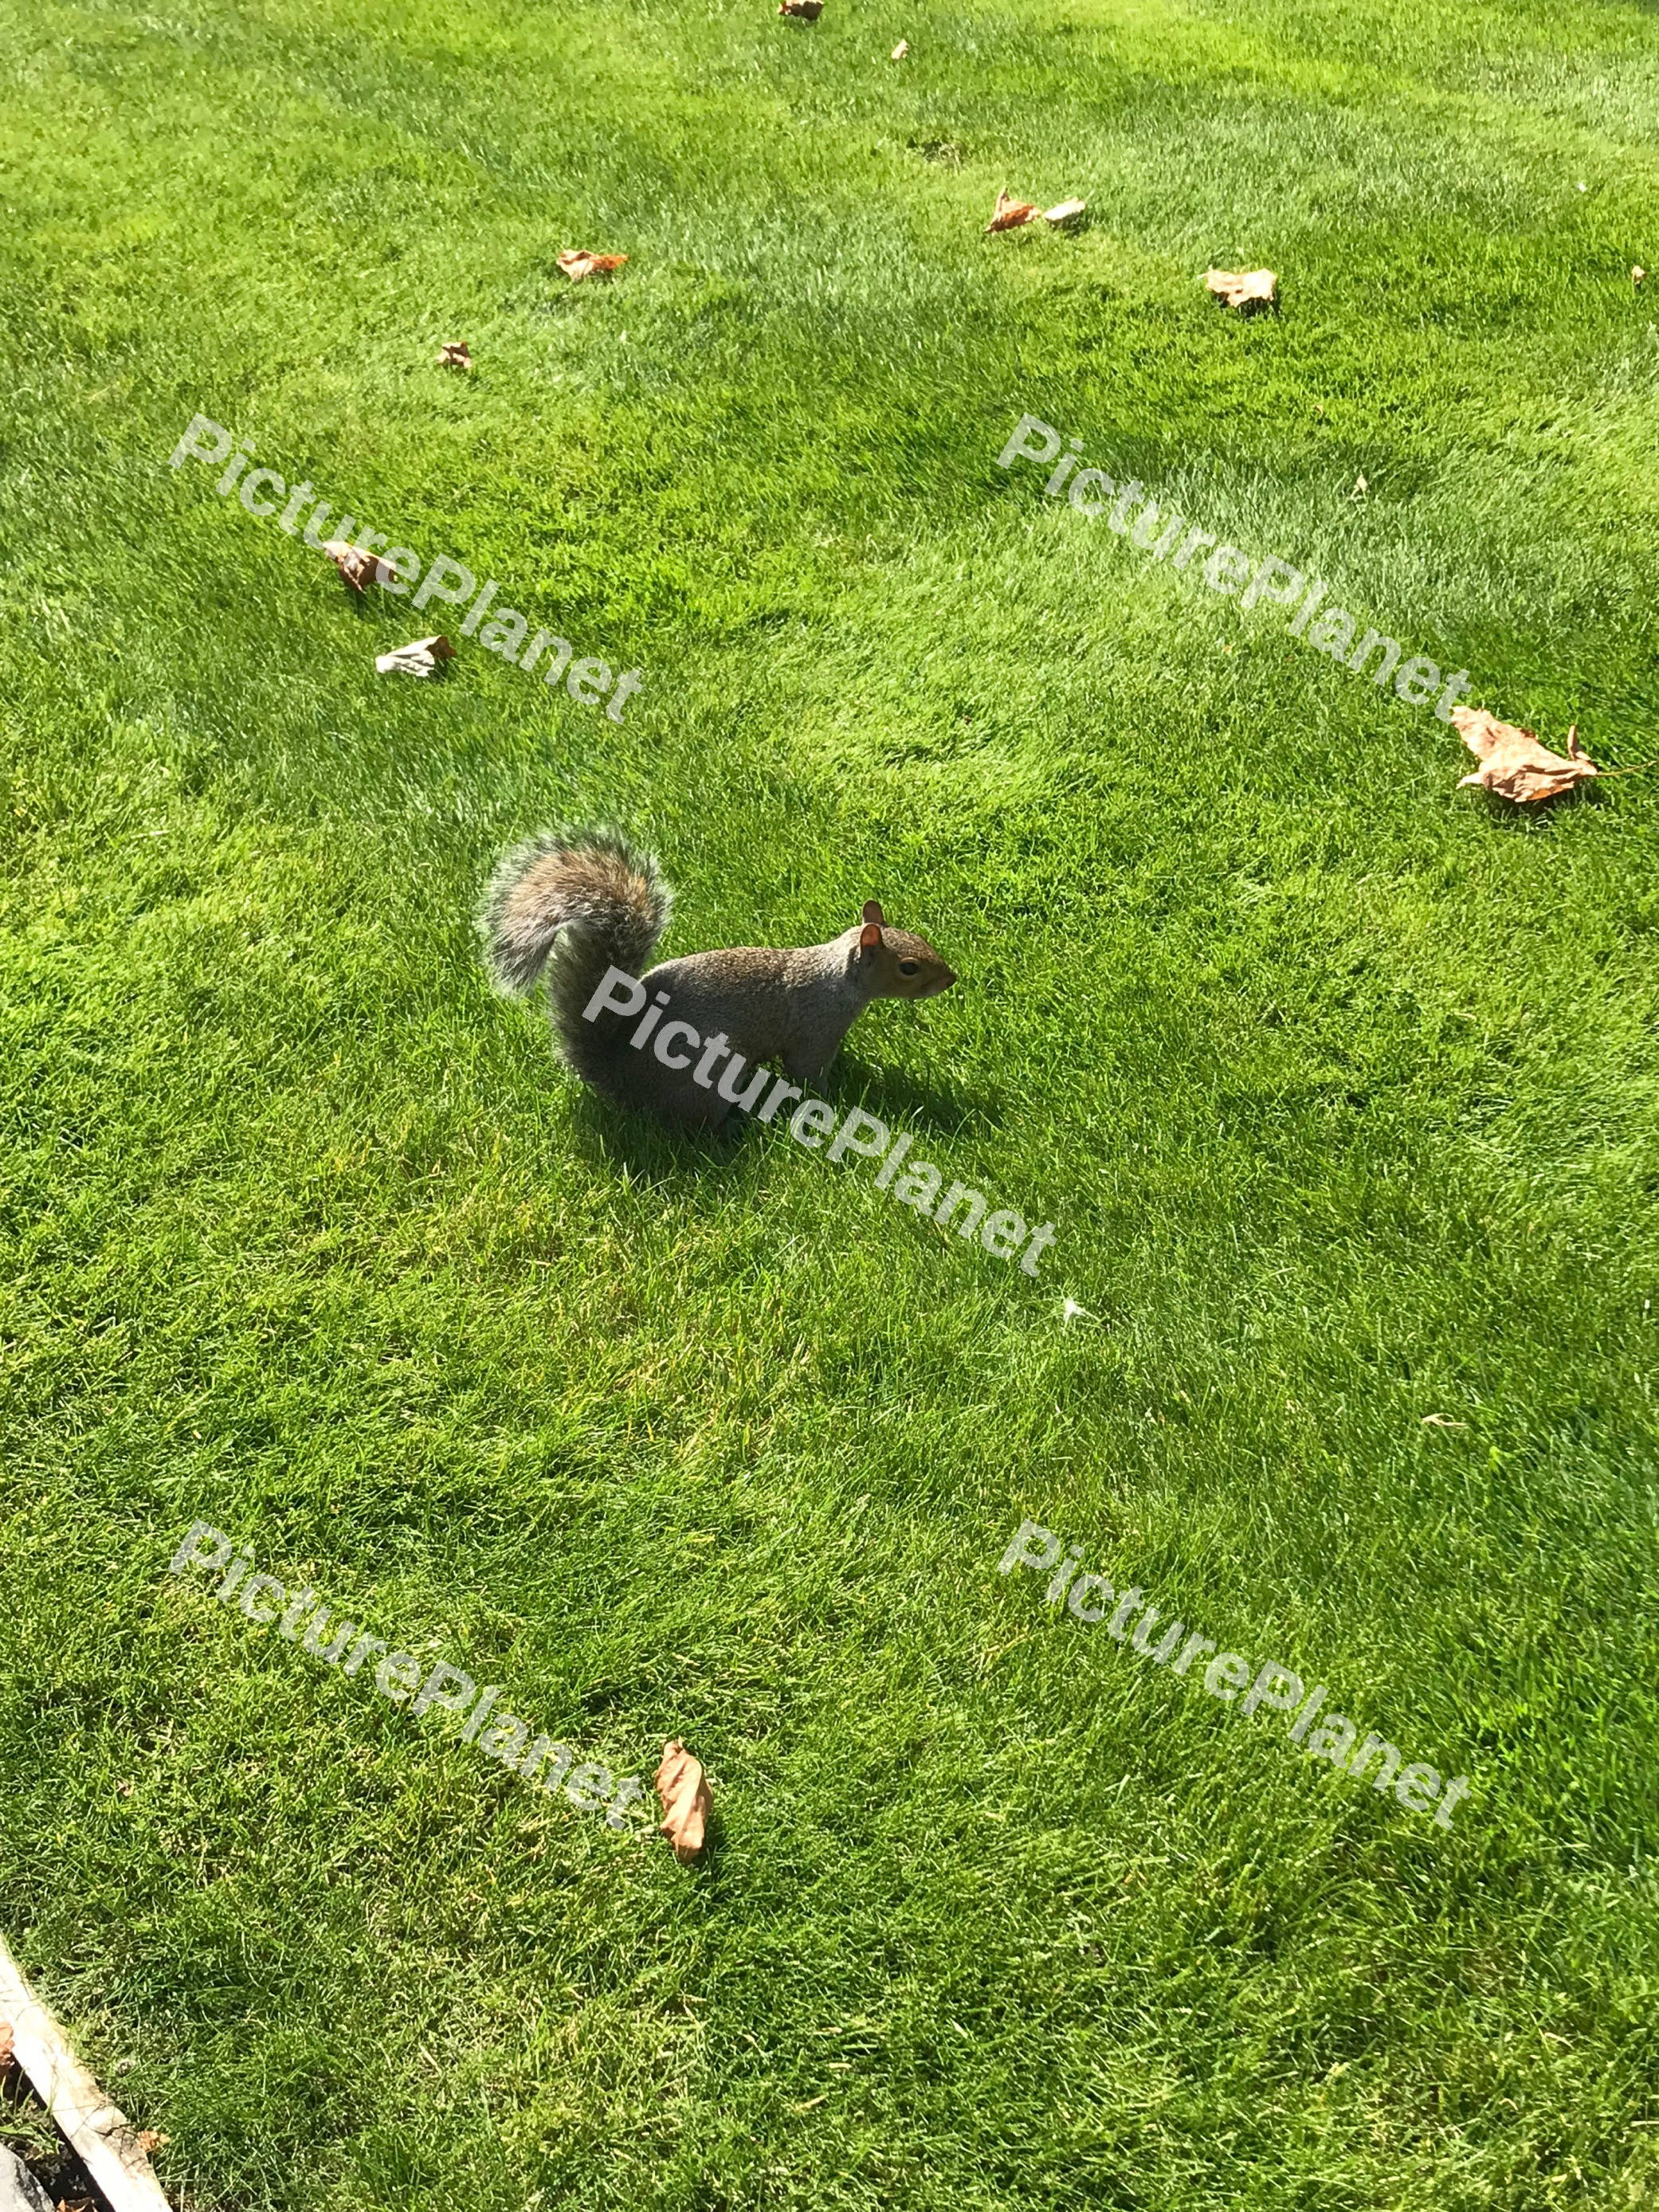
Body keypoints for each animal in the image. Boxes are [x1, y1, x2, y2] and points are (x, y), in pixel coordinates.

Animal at [478, 827, 957, 1127]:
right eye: (909, 967)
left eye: (919, 937)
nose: (951, 980)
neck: (837, 977)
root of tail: (619, 1079)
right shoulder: (814, 1030)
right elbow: (806, 1072)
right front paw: (830, 1100)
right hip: (706, 1081)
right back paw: (730, 1130)